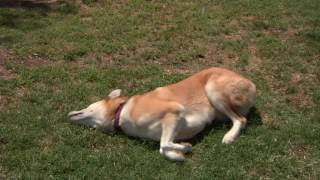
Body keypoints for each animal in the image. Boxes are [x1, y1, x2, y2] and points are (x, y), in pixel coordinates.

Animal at [67, 67, 255, 160]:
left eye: (88, 107)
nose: (68, 114)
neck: (121, 112)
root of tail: (252, 84)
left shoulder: (174, 110)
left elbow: (163, 145)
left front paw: (185, 147)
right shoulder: (171, 129)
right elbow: (163, 149)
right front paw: (180, 153)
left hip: (213, 89)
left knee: (241, 120)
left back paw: (229, 137)